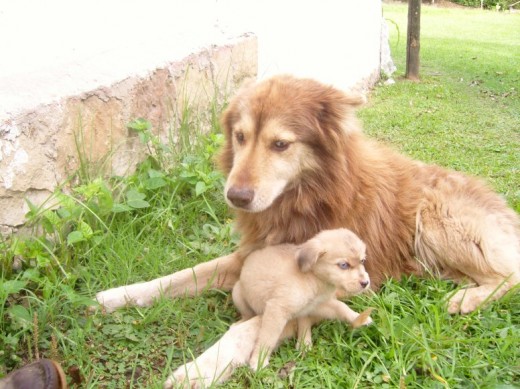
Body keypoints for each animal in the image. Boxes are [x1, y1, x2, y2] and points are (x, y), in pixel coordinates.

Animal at [95, 74, 516, 314]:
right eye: (240, 136)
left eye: (281, 144)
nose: (236, 197)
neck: (306, 196)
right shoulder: (249, 254)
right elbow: (182, 275)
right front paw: (118, 296)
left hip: (435, 219)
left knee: (510, 276)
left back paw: (464, 300)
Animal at [233, 227, 374, 370]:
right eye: (344, 265)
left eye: (362, 261)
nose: (366, 283)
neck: (313, 278)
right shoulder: (277, 309)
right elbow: (268, 337)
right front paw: (258, 360)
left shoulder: (317, 305)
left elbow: (341, 307)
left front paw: (359, 318)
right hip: (238, 294)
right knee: (247, 315)